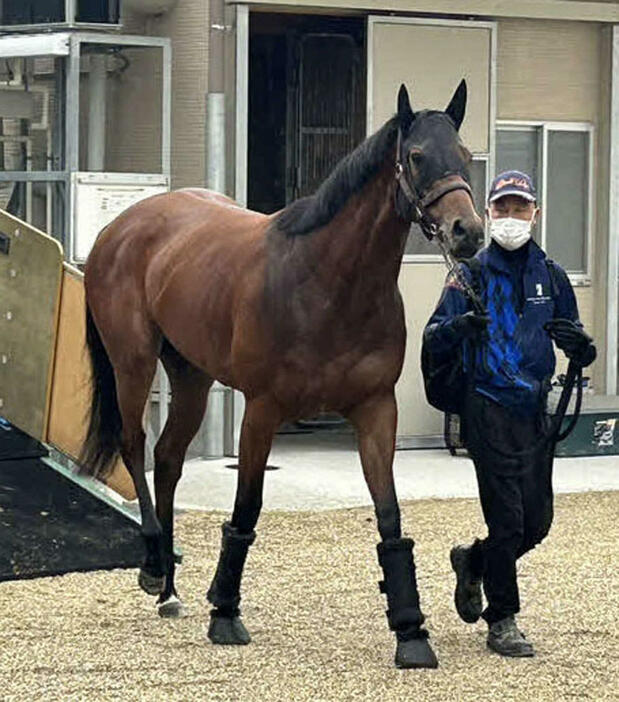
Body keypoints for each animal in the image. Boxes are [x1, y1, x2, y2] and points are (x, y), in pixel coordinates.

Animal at [80, 82, 484, 672]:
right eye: (415, 157)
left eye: (465, 156)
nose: (467, 232)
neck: (327, 284)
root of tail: (121, 226)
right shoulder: (262, 409)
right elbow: (246, 507)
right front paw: (225, 612)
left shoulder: (375, 410)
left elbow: (389, 517)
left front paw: (410, 631)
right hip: (133, 361)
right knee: (135, 447)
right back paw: (155, 566)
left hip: (192, 376)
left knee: (169, 458)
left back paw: (172, 587)